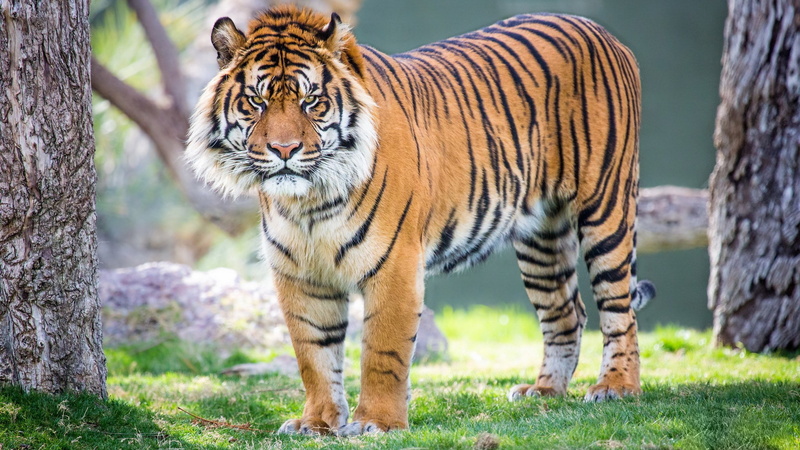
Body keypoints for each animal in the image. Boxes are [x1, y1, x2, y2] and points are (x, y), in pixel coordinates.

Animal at [186, 5, 656, 436]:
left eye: (311, 101)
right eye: (257, 101)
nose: (284, 150)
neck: (309, 202)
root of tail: (596, 28)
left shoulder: (394, 264)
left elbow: (382, 351)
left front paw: (377, 423)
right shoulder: (300, 275)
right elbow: (314, 355)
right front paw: (316, 422)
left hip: (606, 208)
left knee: (618, 309)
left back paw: (616, 387)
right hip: (541, 237)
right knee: (566, 312)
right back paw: (544, 391)